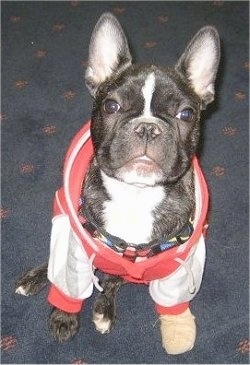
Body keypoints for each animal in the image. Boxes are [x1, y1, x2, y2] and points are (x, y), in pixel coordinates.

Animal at [15, 12, 220, 354]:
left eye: (186, 114)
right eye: (111, 106)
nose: (148, 127)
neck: (135, 195)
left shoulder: (179, 267)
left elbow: (171, 302)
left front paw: (178, 331)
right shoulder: (74, 248)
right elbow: (69, 286)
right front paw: (64, 317)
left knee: (114, 278)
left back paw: (104, 308)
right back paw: (34, 278)